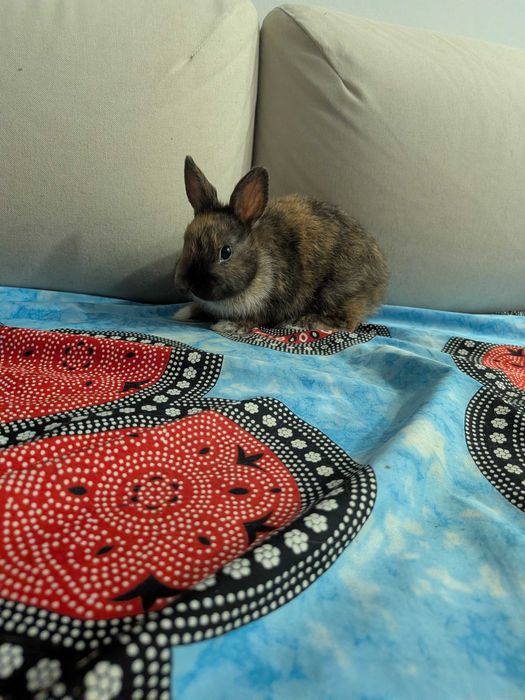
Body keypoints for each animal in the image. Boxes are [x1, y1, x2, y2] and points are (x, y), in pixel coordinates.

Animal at [173, 156, 388, 335]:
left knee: (348, 322)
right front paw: (184, 312)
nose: (186, 284)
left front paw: (228, 325)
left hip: (338, 292)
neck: (257, 267)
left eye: (225, 252)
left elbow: (254, 319)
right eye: (185, 240)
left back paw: (305, 322)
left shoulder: (272, 302)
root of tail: (381, 277)